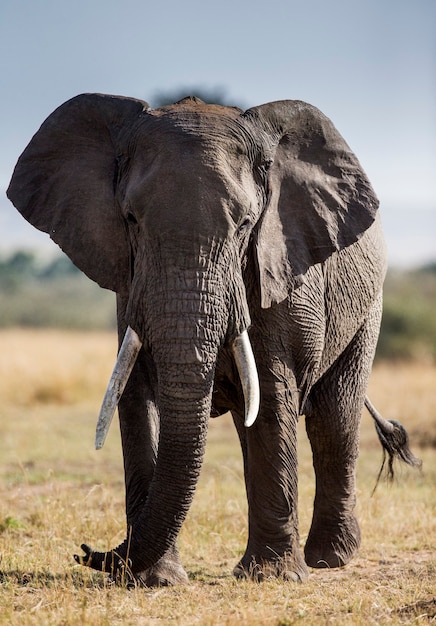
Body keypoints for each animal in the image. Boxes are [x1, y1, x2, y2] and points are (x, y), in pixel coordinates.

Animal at [5, 94, 418, 584]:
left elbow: (273, 394)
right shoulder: (130, 284)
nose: (88, 550)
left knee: (332, 419)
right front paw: (156, 580)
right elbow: (136, 393)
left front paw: (271, 577)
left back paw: (328, 558)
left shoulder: (278, 271)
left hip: (366, 306)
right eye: (130, 220)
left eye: (245, 225)